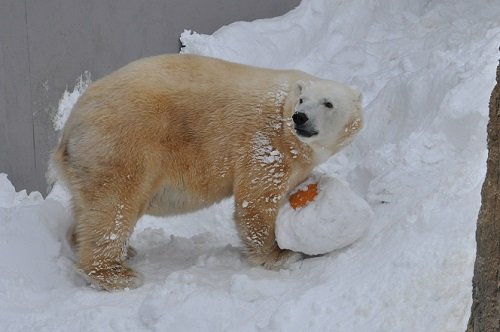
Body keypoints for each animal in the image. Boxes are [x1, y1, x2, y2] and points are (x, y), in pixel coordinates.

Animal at [51, 54, 364, 290]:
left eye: (328, 102)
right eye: (302, 100)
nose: (300, 118)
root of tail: (70, 126)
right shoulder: (265, 140)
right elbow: (255, 201)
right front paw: (281, 255)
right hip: (120, 145)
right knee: (113, 206)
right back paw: (117, 274)